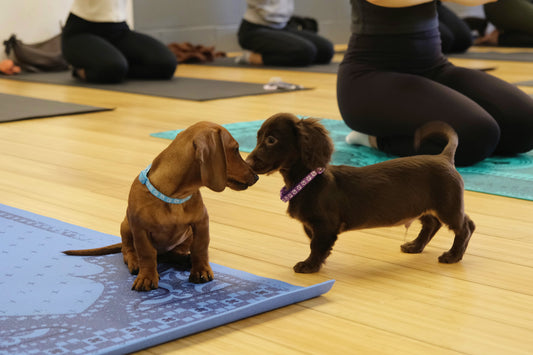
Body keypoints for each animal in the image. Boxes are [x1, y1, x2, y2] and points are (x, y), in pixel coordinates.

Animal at [62, 122, 258, 292]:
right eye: (236, 149)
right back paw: (135, 262)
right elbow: (147, 254)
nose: (256, 176)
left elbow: (200, 247)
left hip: (185, 236)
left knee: (173, 253)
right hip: (125, 225)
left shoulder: (201, 222)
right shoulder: (140, 229)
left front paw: (200, 270)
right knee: (128, 249)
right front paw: (146, 277)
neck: (175, 196)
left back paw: (183, 259)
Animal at [245, 112, 474, 274]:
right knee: (432, 224)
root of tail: (444, 157)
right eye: (257, 138)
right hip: (422, 206)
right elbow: (314, 244)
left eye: (271, 140)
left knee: (465, 227)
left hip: (448, 206)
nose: (247, 163)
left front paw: (309, 266)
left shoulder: (325, 226)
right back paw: (416, 246)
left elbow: (316, 246)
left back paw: (453, 256)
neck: (308, 180)